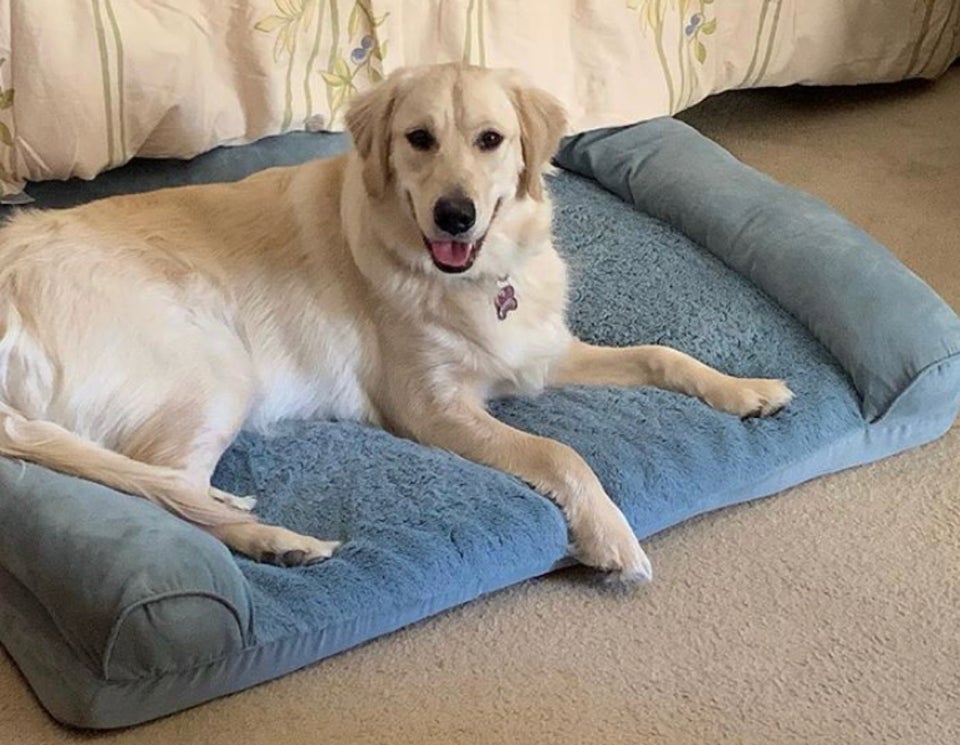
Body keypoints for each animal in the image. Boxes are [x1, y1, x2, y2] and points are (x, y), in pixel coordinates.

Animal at [0, 64, 792, 580]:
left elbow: (662, 353)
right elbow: (559, 454)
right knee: (170, 492)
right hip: (215, 364)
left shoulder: (537, 351)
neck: (471, 277)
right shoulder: (430, 407)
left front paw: (746, 390)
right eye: (418, 138)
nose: (455, 214)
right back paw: (277, 540)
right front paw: (610, 534)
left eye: (491, 139)